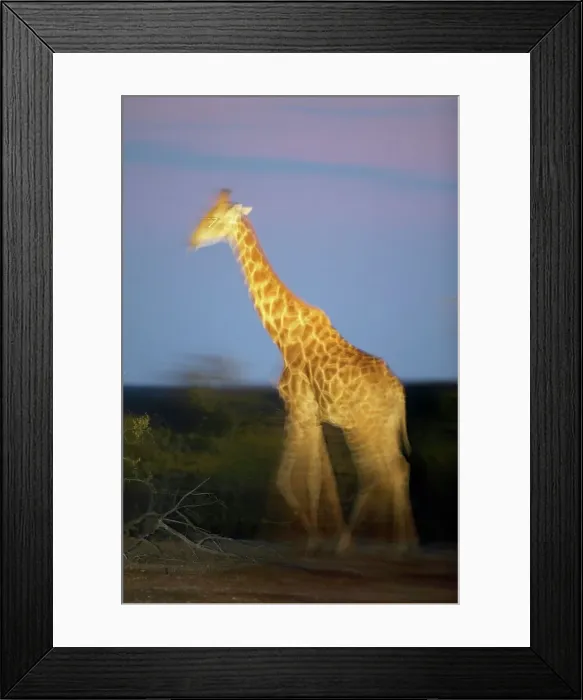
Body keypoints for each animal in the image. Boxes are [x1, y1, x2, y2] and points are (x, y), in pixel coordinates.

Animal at [189, 189, 417, 553]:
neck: (283, 335)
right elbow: (319, 476)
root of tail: (400, 393)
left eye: (213, 218)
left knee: (380, 472)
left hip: (364, 426)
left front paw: (314, 538)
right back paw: (403, 542)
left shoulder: (297, 407)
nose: (192, 240)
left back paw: (356, 541)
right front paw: (318, 533)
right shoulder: (311, 414)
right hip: (380, 427)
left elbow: (292, 478)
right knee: (399, 468)